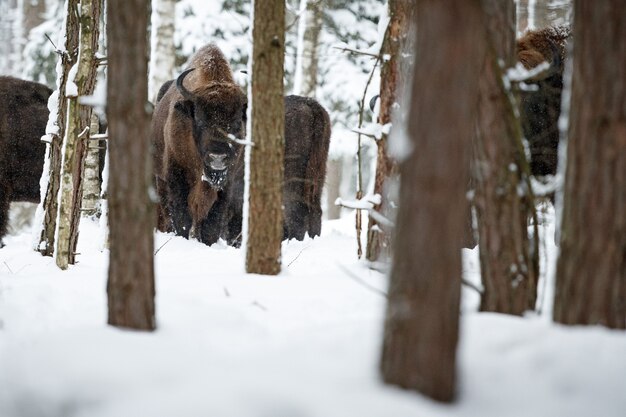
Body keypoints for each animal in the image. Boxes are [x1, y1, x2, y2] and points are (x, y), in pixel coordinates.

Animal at [151, 43, 246, 244]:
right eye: (200, 120)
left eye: (236, 123)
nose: (217, 158)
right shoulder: (176, 176)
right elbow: (182, 218)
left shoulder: (226, 184)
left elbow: (212, 224)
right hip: (160, 179)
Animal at [224, 96, 332, 245]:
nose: (232, 242)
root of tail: (310, 105)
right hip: (317, 176)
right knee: (315, 211)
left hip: (291, 183)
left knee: (297, 213)